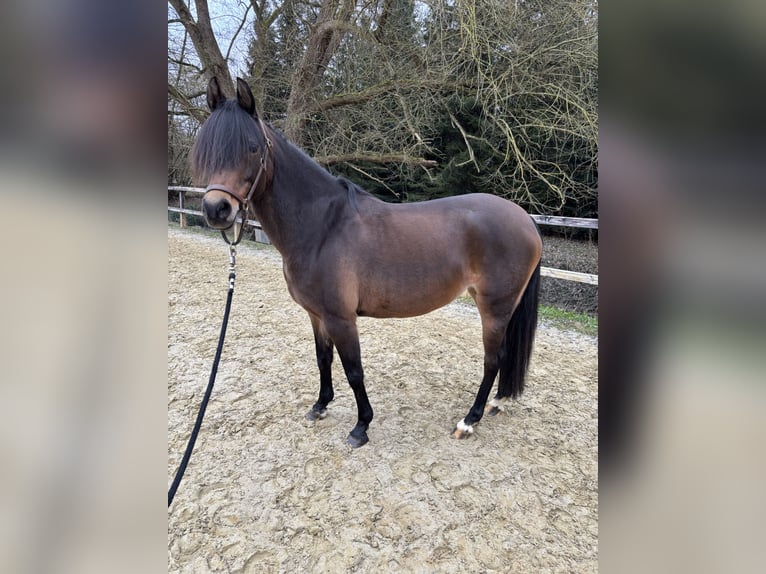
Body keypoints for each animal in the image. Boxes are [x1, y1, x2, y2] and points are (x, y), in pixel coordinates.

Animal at [192, 77, 544, 450]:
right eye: (207, 149)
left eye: (253, 148)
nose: (217, 210)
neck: (322, 227)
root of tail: (525, 219)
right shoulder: (317, 315)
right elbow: (323, 359)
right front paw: (320, 406)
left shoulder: (341, 318)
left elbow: (354, 370)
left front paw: (361, 426)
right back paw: (496, 404)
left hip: (494, 308)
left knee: (493, 360)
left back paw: (469, 420)